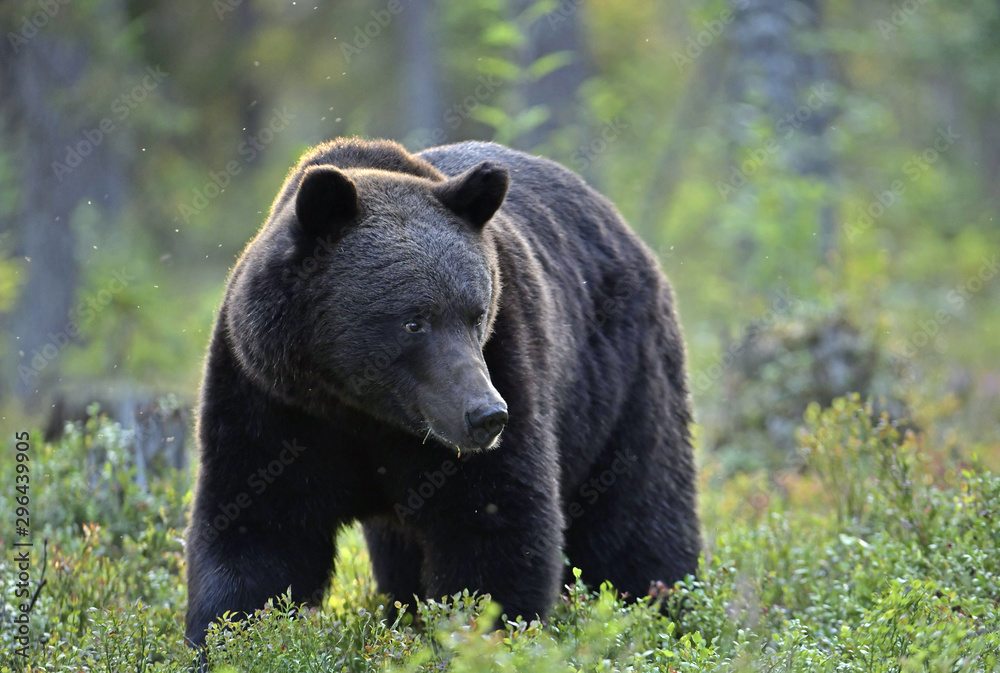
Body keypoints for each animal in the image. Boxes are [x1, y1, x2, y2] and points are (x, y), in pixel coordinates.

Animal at [184, 137, 700, 647]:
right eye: (414, 321)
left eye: (477, 313)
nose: (487, 415)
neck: (362, 409)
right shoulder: (271, 400)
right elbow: (259, 533)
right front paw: (226, 638)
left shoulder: (506, 361)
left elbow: (494, 523)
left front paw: (484, 635)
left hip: (619, 378)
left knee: (640, 512)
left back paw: (666, 609)